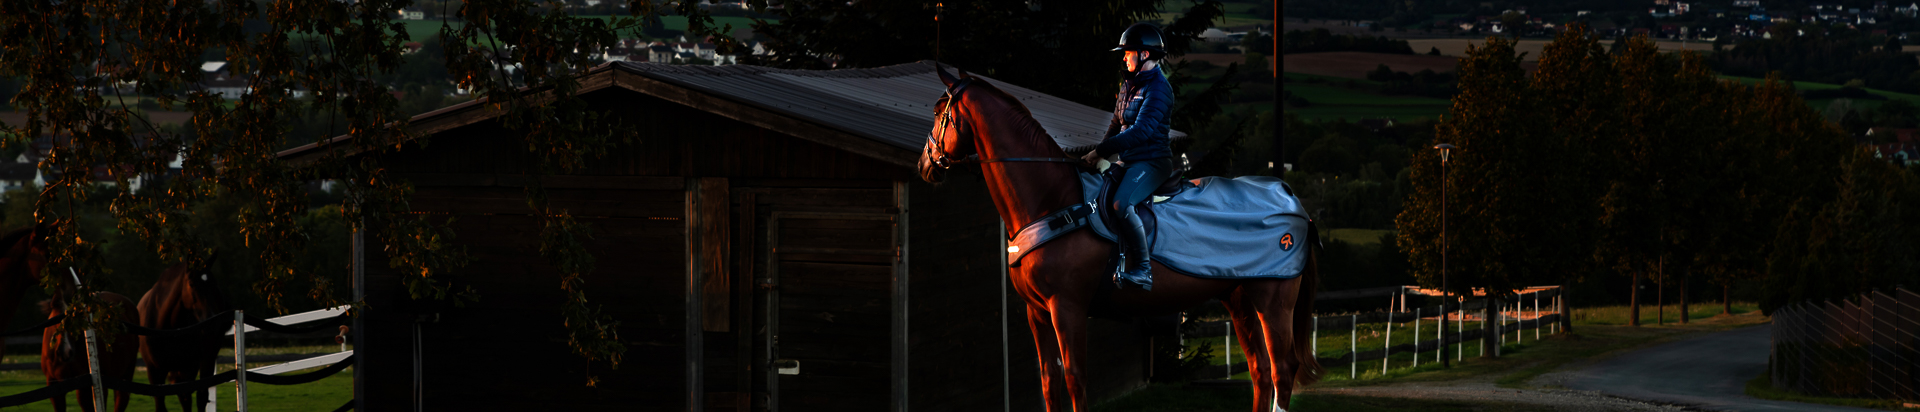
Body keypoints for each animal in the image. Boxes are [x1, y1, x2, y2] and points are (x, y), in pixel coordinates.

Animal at [135, 251, 226, 412]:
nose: (212, 321)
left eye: (213, 284)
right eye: (191, 283)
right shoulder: (154, 370)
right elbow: (161, 404)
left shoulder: (198, 363)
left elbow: (199, 397)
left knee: (192, 397)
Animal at [913, 65, 1320, 412]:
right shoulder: (1037, 312)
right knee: (1260, 371)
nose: (924, 164)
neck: (1053, 201)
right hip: (1238, 298)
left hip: (1273, 301)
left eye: (937, 110)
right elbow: (1049, 382)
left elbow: (1075, 380)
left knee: (1282, 370)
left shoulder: (1067, 308)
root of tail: (1291, 198)